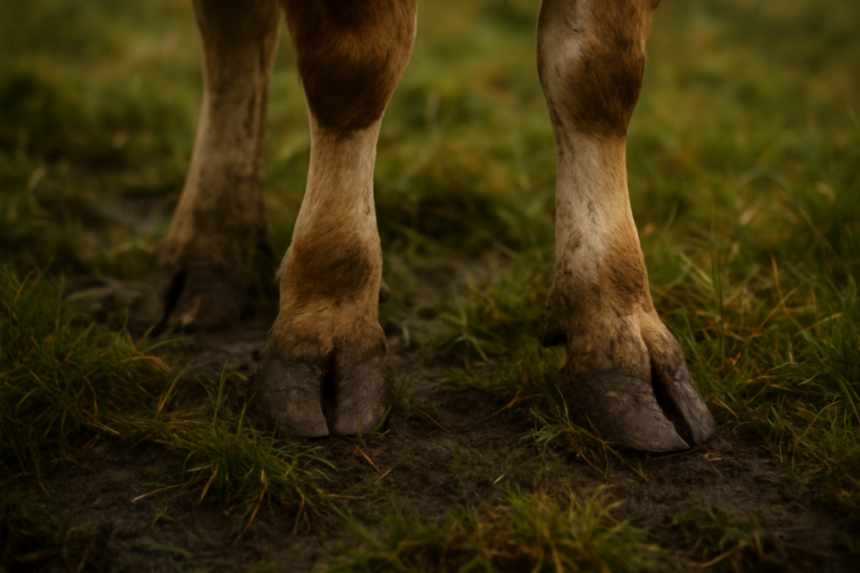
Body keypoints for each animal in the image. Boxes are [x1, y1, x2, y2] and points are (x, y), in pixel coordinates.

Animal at [158, 0, 715, 452]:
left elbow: (599, 73)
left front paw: (617, 333)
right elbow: (354, 64)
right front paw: (328, 319)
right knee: (232, 36)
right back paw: (206, 253)